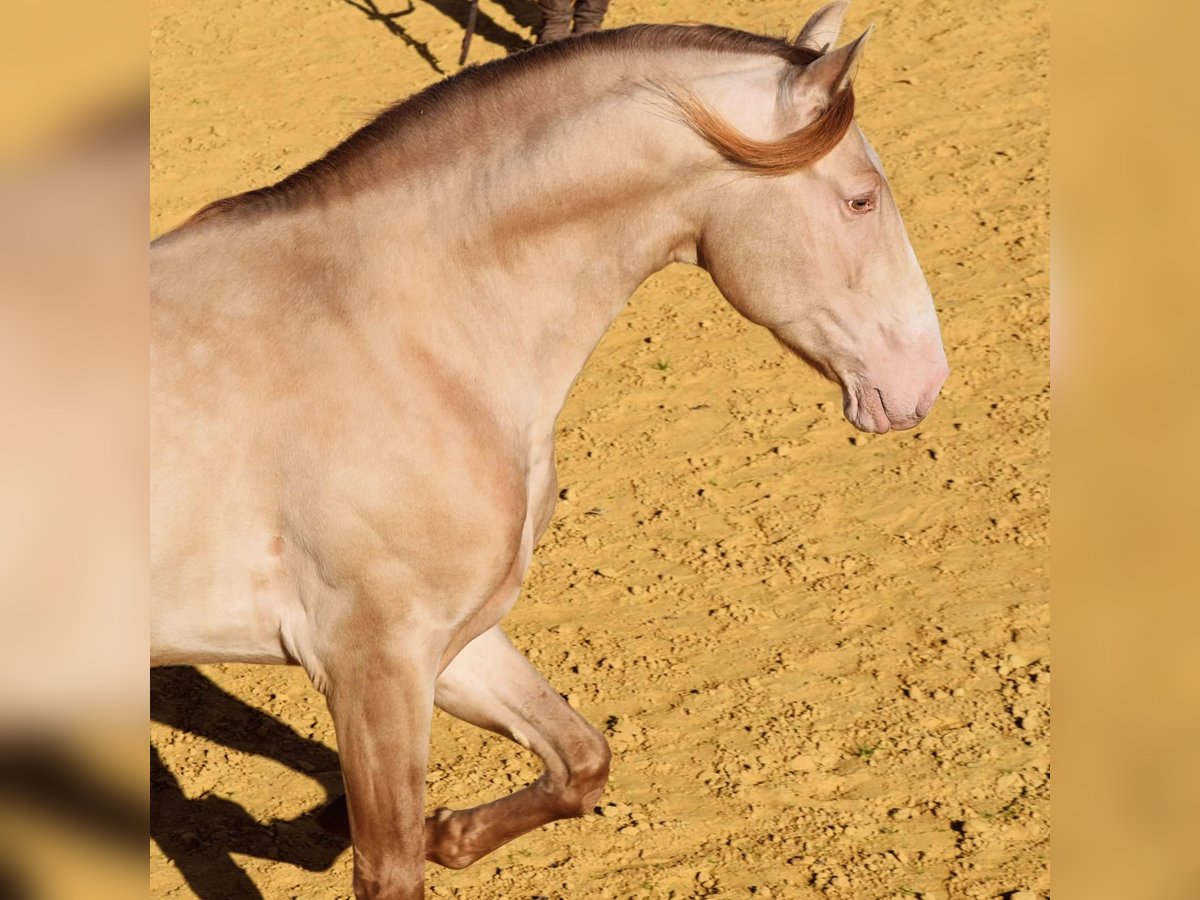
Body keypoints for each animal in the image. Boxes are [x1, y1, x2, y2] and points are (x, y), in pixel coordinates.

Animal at [152, 5, 945, 897]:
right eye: (859, 199)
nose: (924, 381)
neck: (394, 333)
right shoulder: (373, 664)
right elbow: (391, 870)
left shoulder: (453, 640)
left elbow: (580, 760)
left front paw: (445, 831)